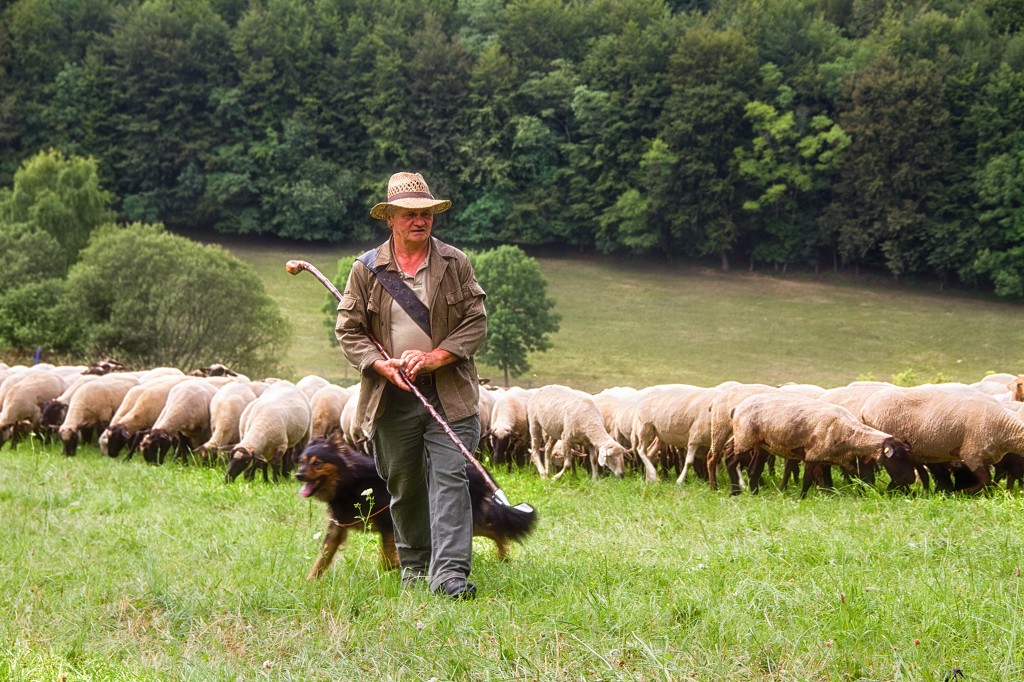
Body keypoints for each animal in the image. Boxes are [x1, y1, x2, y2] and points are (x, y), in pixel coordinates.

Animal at [294, 432, 536, 577]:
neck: (350, 480)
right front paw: (310, 584)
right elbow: (321, 559)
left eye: (317, 463)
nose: (298, 475)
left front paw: (394, 568)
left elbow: (386, 558)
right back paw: (503, 556)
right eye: (302, 461)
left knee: (495, 529)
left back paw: (503, 555)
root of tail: (478, 470)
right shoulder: (337, 529)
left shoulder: (389, 525)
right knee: (495, 529)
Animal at [733, 391, 917, 497]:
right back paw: (738, 491)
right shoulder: (812, 455)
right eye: (898, 458)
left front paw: (862, 494)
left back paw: (754, 493)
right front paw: (802, 498)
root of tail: (737, 407)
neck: (850, 435)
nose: (911, 480)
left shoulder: (842, 460)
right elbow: (807, 480)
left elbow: (856, 479)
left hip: (761, 445)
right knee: (735, 463)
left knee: (753, 470)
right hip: (743, 440)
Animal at [856, 385, 1024, 491]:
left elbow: (992, 480)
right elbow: (985, 481)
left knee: (922, 475)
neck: (1003, 426)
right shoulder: (972, 454)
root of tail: (865, 408)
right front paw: (963, 493)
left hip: (914, 451)